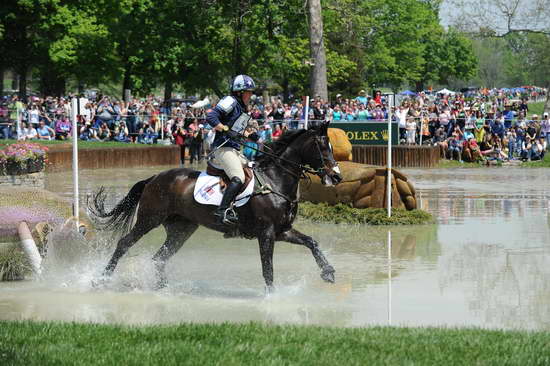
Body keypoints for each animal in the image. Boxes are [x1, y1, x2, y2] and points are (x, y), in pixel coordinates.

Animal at [88, 122, 342, 292]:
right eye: (323, 147)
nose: (337, 176)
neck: (275, 180)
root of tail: (154, 178)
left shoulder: (282, 231)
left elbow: (311, 242)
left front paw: (328, 271)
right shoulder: (267, 233)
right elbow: (268, 268)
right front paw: (272, 297)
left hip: (182, 229)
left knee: (159, 258)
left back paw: (163, 289)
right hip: (150, 219)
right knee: (124, 244)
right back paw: (101, 279)